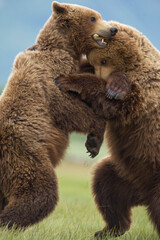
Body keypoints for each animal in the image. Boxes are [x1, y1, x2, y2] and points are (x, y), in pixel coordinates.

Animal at [0, 3, 119, 229]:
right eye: (93, 18)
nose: (113, 29)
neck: (65, 48)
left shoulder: (74, 66)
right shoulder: (50, 76)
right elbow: (67, 108)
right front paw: (94, 138)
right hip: (23, 152)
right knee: (39, 191)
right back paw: (9, 220)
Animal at [55, 21, 160, 238]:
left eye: (103, 61)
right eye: (95, 62)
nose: (96, 72)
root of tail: (144, 194)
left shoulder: (142, 98)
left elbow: (112, 104)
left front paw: (69, 80)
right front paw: (93, 142)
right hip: (126, 175)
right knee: (106, 186)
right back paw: (109, 229)